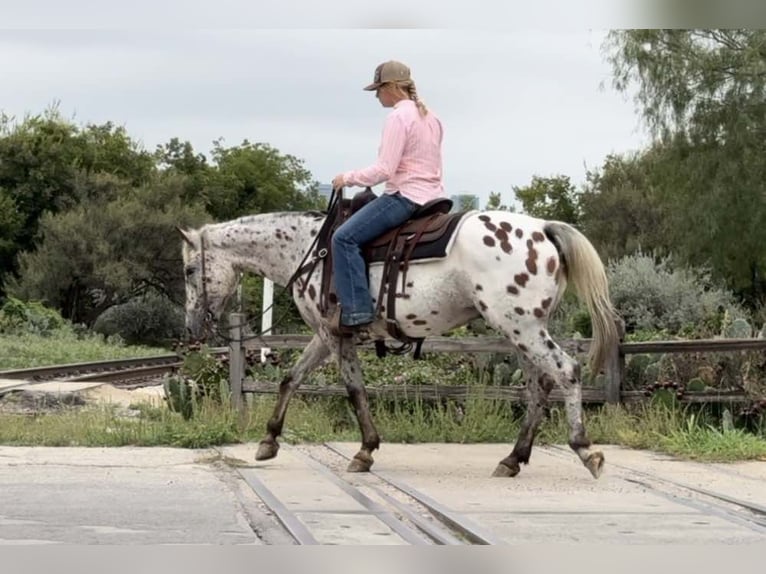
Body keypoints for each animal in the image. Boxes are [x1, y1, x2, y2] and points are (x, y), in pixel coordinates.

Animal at [178, 199, 620, 479]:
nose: (191, 327)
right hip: (520, 330)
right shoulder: (324, 334)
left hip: (521, 327)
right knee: (539, 384)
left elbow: (354, 389)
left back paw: (584, 449)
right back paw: (512, 459)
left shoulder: (335, 335)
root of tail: (543, 229)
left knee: (566, 371)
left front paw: (365, 451)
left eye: (187, 271)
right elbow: (291, 379)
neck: (308, 250)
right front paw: (268, 442)